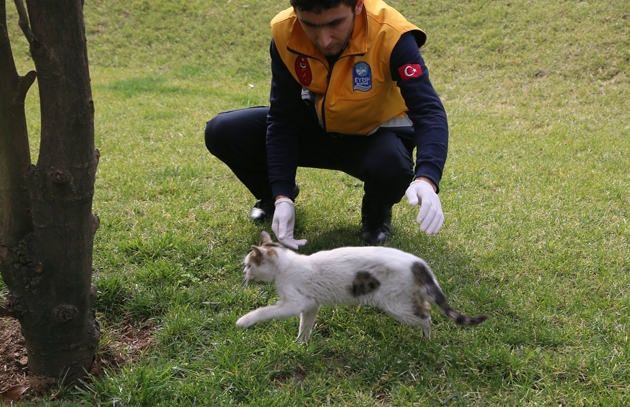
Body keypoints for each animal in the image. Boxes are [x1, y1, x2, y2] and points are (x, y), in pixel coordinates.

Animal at [237, 233, 488, 342]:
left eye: (249, 264)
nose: (244, 273)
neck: (285, 264)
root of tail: (417, 263)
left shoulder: (294, 302)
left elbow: (266, 311)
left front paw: (245, 320)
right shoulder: (310, 305)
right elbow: (305, 326)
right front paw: (301, 344)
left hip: (396, 305)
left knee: (426, 317)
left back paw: (426, 340)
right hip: (407, 298)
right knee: (426, 307)